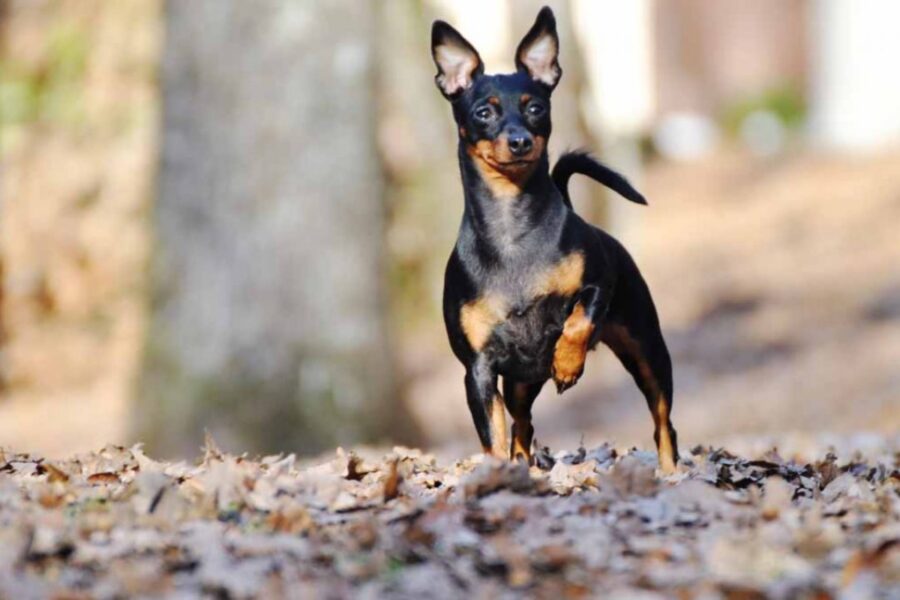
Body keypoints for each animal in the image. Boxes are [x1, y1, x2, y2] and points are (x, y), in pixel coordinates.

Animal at [432, 5, 680, 474]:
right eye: (483, 113)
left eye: (535, 107)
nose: (519, 141)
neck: (512, 229)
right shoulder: (478, 368)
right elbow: (492, 438)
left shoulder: (598, 284)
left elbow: (578, 321)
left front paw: (567, 364)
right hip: (519, 382)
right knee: (522, 427)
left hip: (646, 351)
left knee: (663, 423)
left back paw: (673, 475)